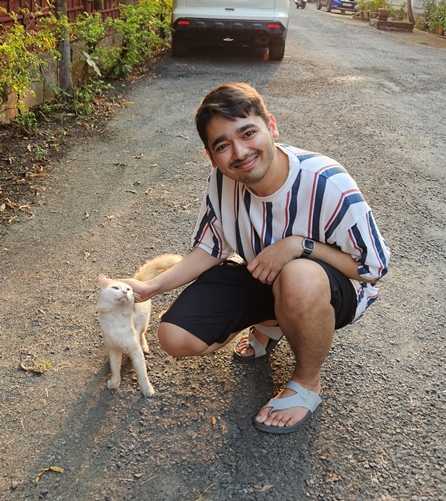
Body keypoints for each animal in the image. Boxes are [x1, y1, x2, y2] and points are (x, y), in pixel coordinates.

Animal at [97, 254, 182, 397]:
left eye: (128, 289)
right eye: (115, 288)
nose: (125, 292)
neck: (116, 320)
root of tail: (138, 280)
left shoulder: (135, 351)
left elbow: (142, 375)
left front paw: (147, 390)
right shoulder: (114, 350)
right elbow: (115, 370)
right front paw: (114, 383)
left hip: (143, 324)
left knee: (142, 335)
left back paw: (145, 347)